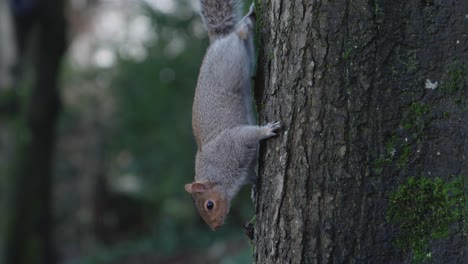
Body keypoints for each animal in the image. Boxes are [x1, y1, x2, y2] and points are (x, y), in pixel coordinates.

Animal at [185, 0, 282, 230]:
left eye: (209, 205)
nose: (215, 228)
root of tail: (216, 41)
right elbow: (254, 177)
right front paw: (255, 192)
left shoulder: (233, 143)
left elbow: (248, 135)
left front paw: (267, 130)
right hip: (243, 55)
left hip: (231, 63)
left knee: (239, 33)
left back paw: (247, 21)